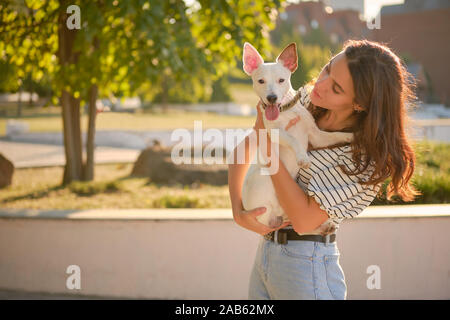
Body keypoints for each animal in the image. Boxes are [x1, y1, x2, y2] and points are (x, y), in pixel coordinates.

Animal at [241, 42, 354, 229]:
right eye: (260, 81)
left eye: (281, 80)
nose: (271, 98)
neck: (286, 112)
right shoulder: (275, 133)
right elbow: (293, 139)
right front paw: (302, 157)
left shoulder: (316, 136)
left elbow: (335, 135)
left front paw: (352, 136)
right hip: (264, 178)